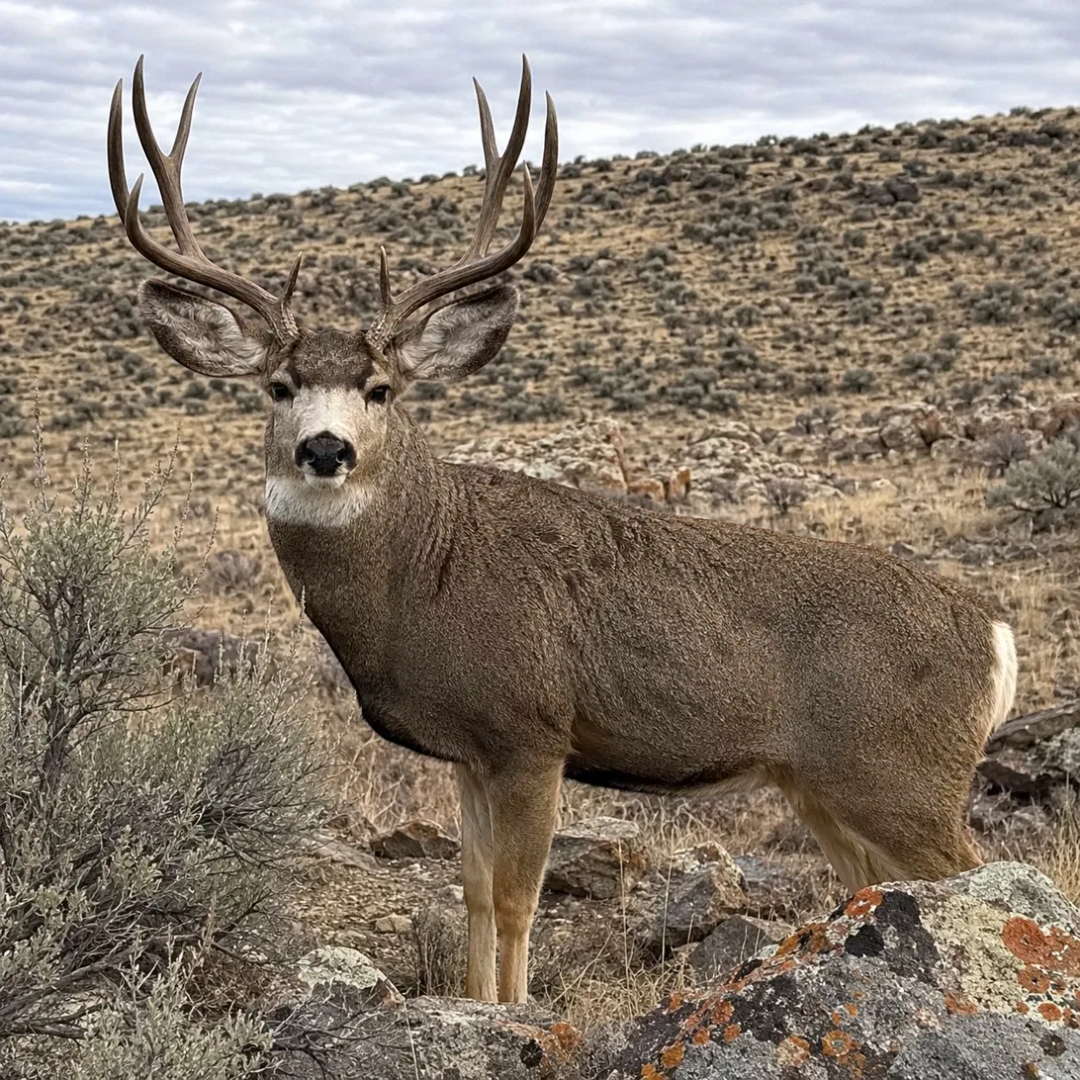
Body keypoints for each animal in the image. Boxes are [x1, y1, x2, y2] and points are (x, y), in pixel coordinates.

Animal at [108, 54, 1018, 1005]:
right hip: (826, 787)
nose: (326, 448)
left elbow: (517, 903)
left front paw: (516, 1012)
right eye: (279, 386)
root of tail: (995, 633)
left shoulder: (532, 730)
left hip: (904, 775)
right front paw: (476, 1003)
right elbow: (472, 894)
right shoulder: (469, 751)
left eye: (381, 389)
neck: (424, 574)